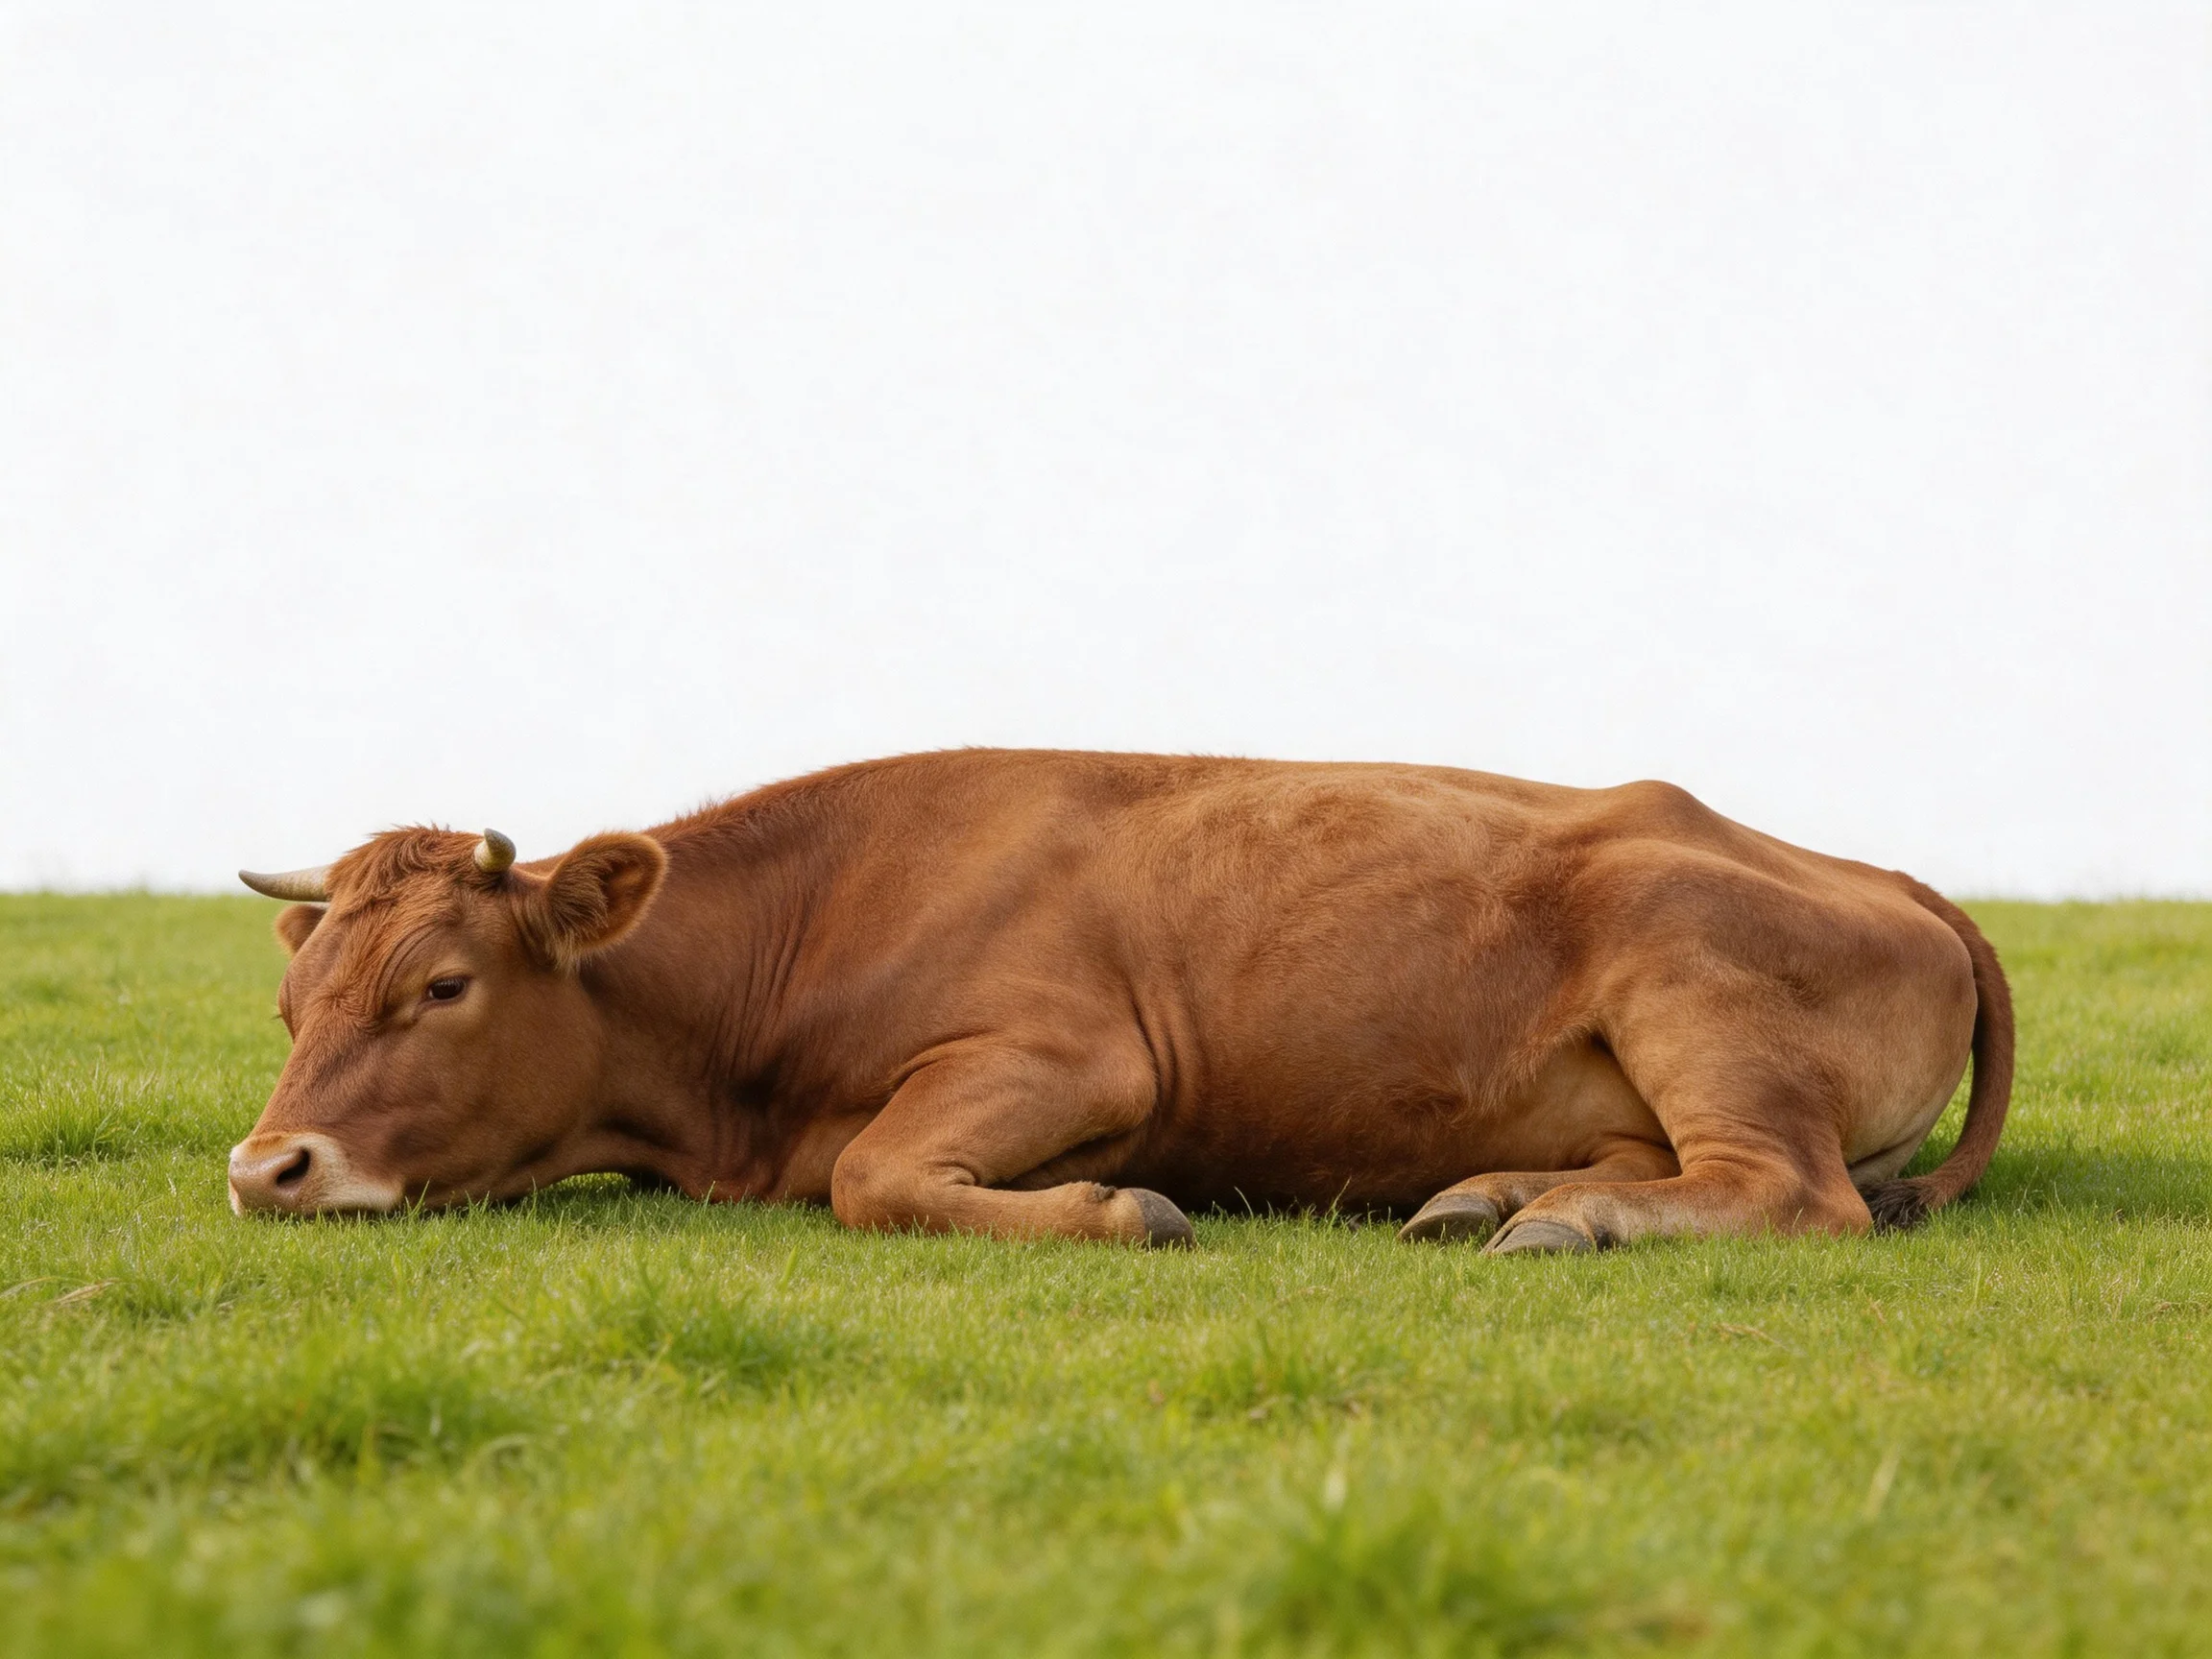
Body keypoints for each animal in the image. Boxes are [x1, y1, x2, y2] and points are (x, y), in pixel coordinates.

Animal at [228, 749, 2011, 1254]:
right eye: (290, 1003)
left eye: (441, 984)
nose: (266, 1169)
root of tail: (1888, 871)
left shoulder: (1073, 1053)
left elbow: (873, 1174)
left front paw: (1122, 1211)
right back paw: (1490, 1194)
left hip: (1690, 978)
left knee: (1784, 1189)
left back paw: (1559, 1221)